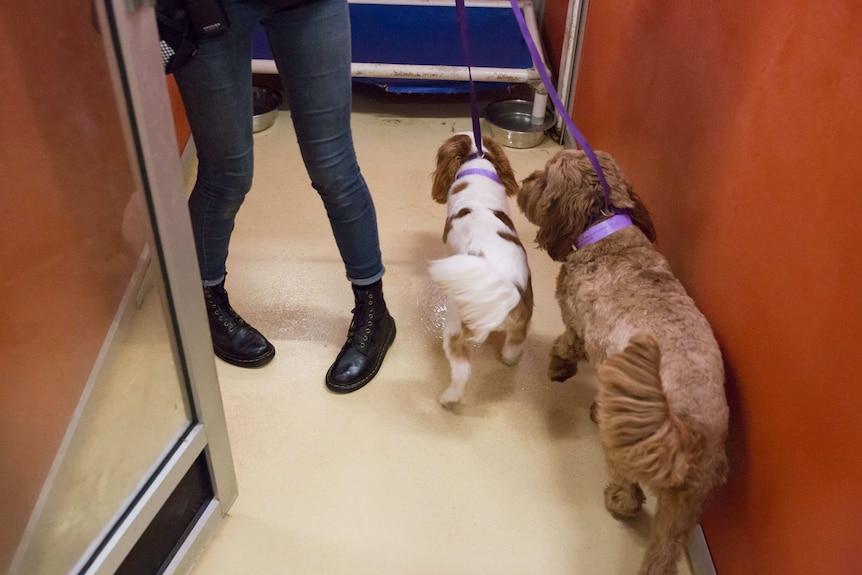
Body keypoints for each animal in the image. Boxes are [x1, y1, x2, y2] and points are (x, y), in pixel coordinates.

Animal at [430, 134, 532, 404]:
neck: (477, 164)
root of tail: (505, 296)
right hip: (520, 326)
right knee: (513, 348)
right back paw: (510, 360)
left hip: (455, 329)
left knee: (462, 371)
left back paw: (448, 398)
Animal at [520, 150, 728, 575]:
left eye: (544, 178)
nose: (523, 181)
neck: (606, 231)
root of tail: (686, 430)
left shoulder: (577, 325)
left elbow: (565, 346)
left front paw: (558, 369)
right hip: (686, 503)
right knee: (663, 551)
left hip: (627, 452)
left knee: (629, 492)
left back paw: (617, 498)